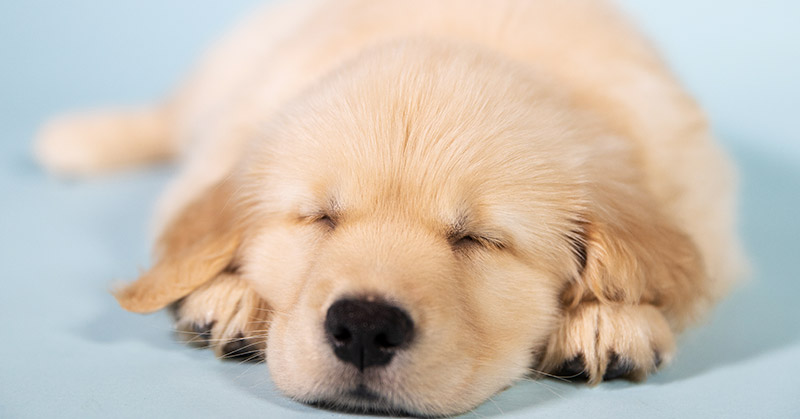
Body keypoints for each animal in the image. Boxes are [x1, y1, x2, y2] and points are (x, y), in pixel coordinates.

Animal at [34, 0, 748, 416]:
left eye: (479, 240)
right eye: (320, 218)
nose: (364, 328)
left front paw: (609, 320)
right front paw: (228, 294)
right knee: (167, 115)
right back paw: (78, 137)